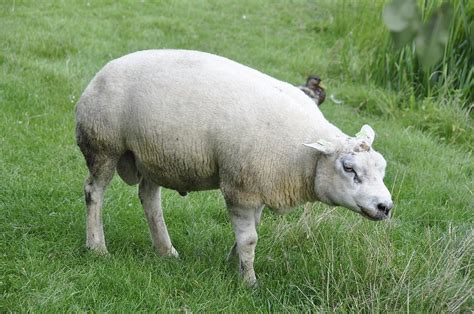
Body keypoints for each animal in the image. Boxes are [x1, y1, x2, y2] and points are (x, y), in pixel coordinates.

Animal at [74, 49, 392, 288]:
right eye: (348, 168)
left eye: (382, 168)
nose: (385, 206)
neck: (303, 156)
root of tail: (102, 71)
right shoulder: (241, 186)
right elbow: (249, 238)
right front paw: (249, 282)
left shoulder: (260, 184)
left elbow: (249, 233)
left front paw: (233, 265)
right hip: (103, 144)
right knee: (93, 191)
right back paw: (97, 247)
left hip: (153, 154)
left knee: (149, 198)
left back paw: (166, 251)